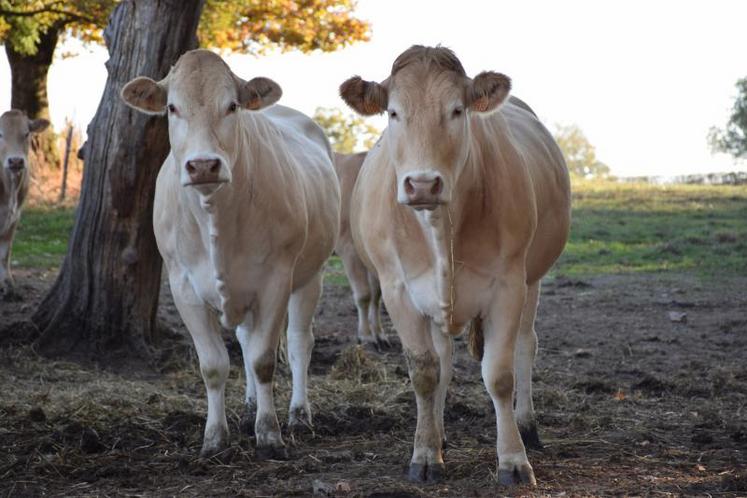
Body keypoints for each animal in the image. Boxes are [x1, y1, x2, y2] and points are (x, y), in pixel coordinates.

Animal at [0, 110, 50, 292]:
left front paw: (8, 285)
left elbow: (5, 254)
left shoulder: (15, 218)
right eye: (0, 133)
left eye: (26, 133)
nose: (15, 161)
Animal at [121, 49, 340, 460]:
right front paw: (214, 437)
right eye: (172, 107)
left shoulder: (275, 280)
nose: (203, 165)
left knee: (299, 343)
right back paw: (251, 403)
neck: (216, 216)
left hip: (312, 275)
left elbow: (263, 359)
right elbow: (214, 365)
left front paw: (269, 434)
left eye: (232, 105)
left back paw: (299, 414)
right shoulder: (183, 286)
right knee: (244, 337)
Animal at [340, 44, 572, 484]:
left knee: (525, 345)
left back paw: (528, 427)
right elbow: (425, 373)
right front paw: (425, 453)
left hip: (532, 279)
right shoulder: (398, 290)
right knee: (443, 361)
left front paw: (513, 460)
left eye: (457, 110)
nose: (422, 184)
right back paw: (440, 434)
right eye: (393, 112)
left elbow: (499, 375)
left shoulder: (508, 285)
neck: (440, 223)